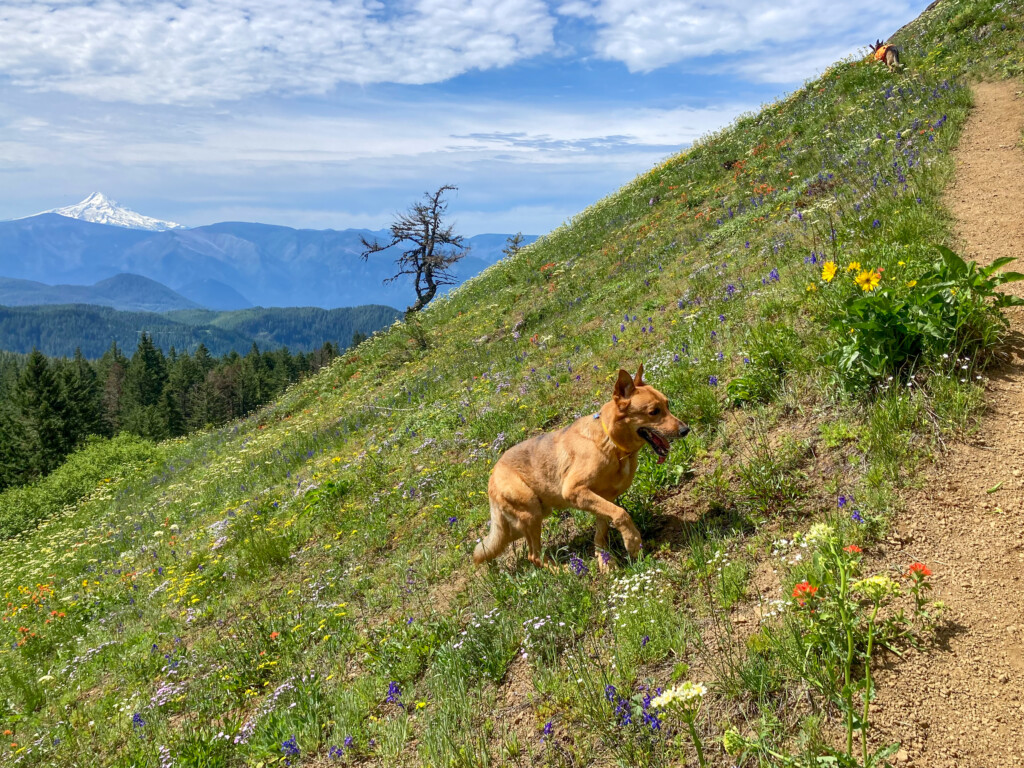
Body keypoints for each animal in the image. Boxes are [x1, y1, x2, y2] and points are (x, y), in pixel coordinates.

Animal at [471, 366, 688, 573]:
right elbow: (621, 514)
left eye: (667, 405)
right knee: (534, 556)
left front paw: (605, 561)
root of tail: (493, 474)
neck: (611, 443)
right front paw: (632, 542)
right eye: (654, 412)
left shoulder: (603, 498)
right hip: (531, 512)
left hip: (530, 516)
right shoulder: (574, 491)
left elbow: (602, 532)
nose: (686, 430)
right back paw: (565, 572)